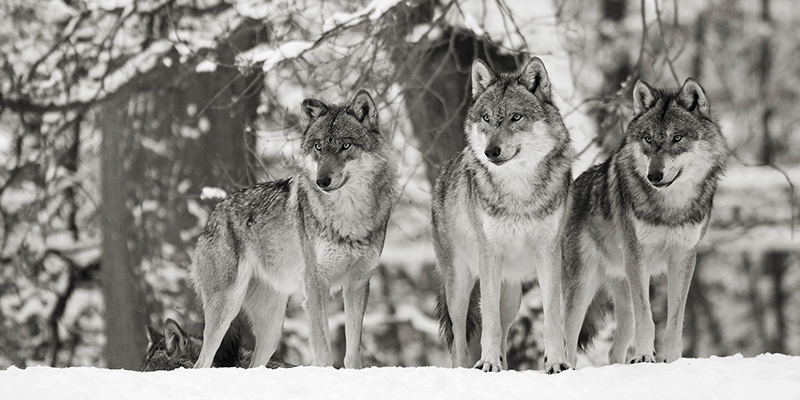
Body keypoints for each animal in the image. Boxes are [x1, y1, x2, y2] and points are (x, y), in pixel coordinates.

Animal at [191, 90, 396, 368]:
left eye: (345, 146)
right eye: (318, 147)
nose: (322, 181)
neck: (348, 216)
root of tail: (214, 214)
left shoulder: (358, 284)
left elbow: (353, 352)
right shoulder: (316, 284)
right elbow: (324, 351)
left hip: (272, 330)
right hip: (226, 307)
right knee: (201, 362)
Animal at [432, 55, 576, 372]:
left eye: (516, 117)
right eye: (486, 118)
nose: (491, 152)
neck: (518, 191)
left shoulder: (550, 253)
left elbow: (552, 318)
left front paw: (556, 363)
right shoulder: (489, 254)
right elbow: (488, 322)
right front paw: (487, 363)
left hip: (511, 296)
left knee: (504, 327)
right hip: (459, 288)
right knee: (459, 337)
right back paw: (465, 368)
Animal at [560, 76, 728, 368]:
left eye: (677, 137)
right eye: (648, 138)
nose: (654, 175)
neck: (670, 207)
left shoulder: (684, 258)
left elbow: (674, 321)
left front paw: (672, 360)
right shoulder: (638, 257)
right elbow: (647, 318)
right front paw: (643, 357)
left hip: (622, 292)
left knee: (613, 349)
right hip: (582, 286)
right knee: (568, 338)